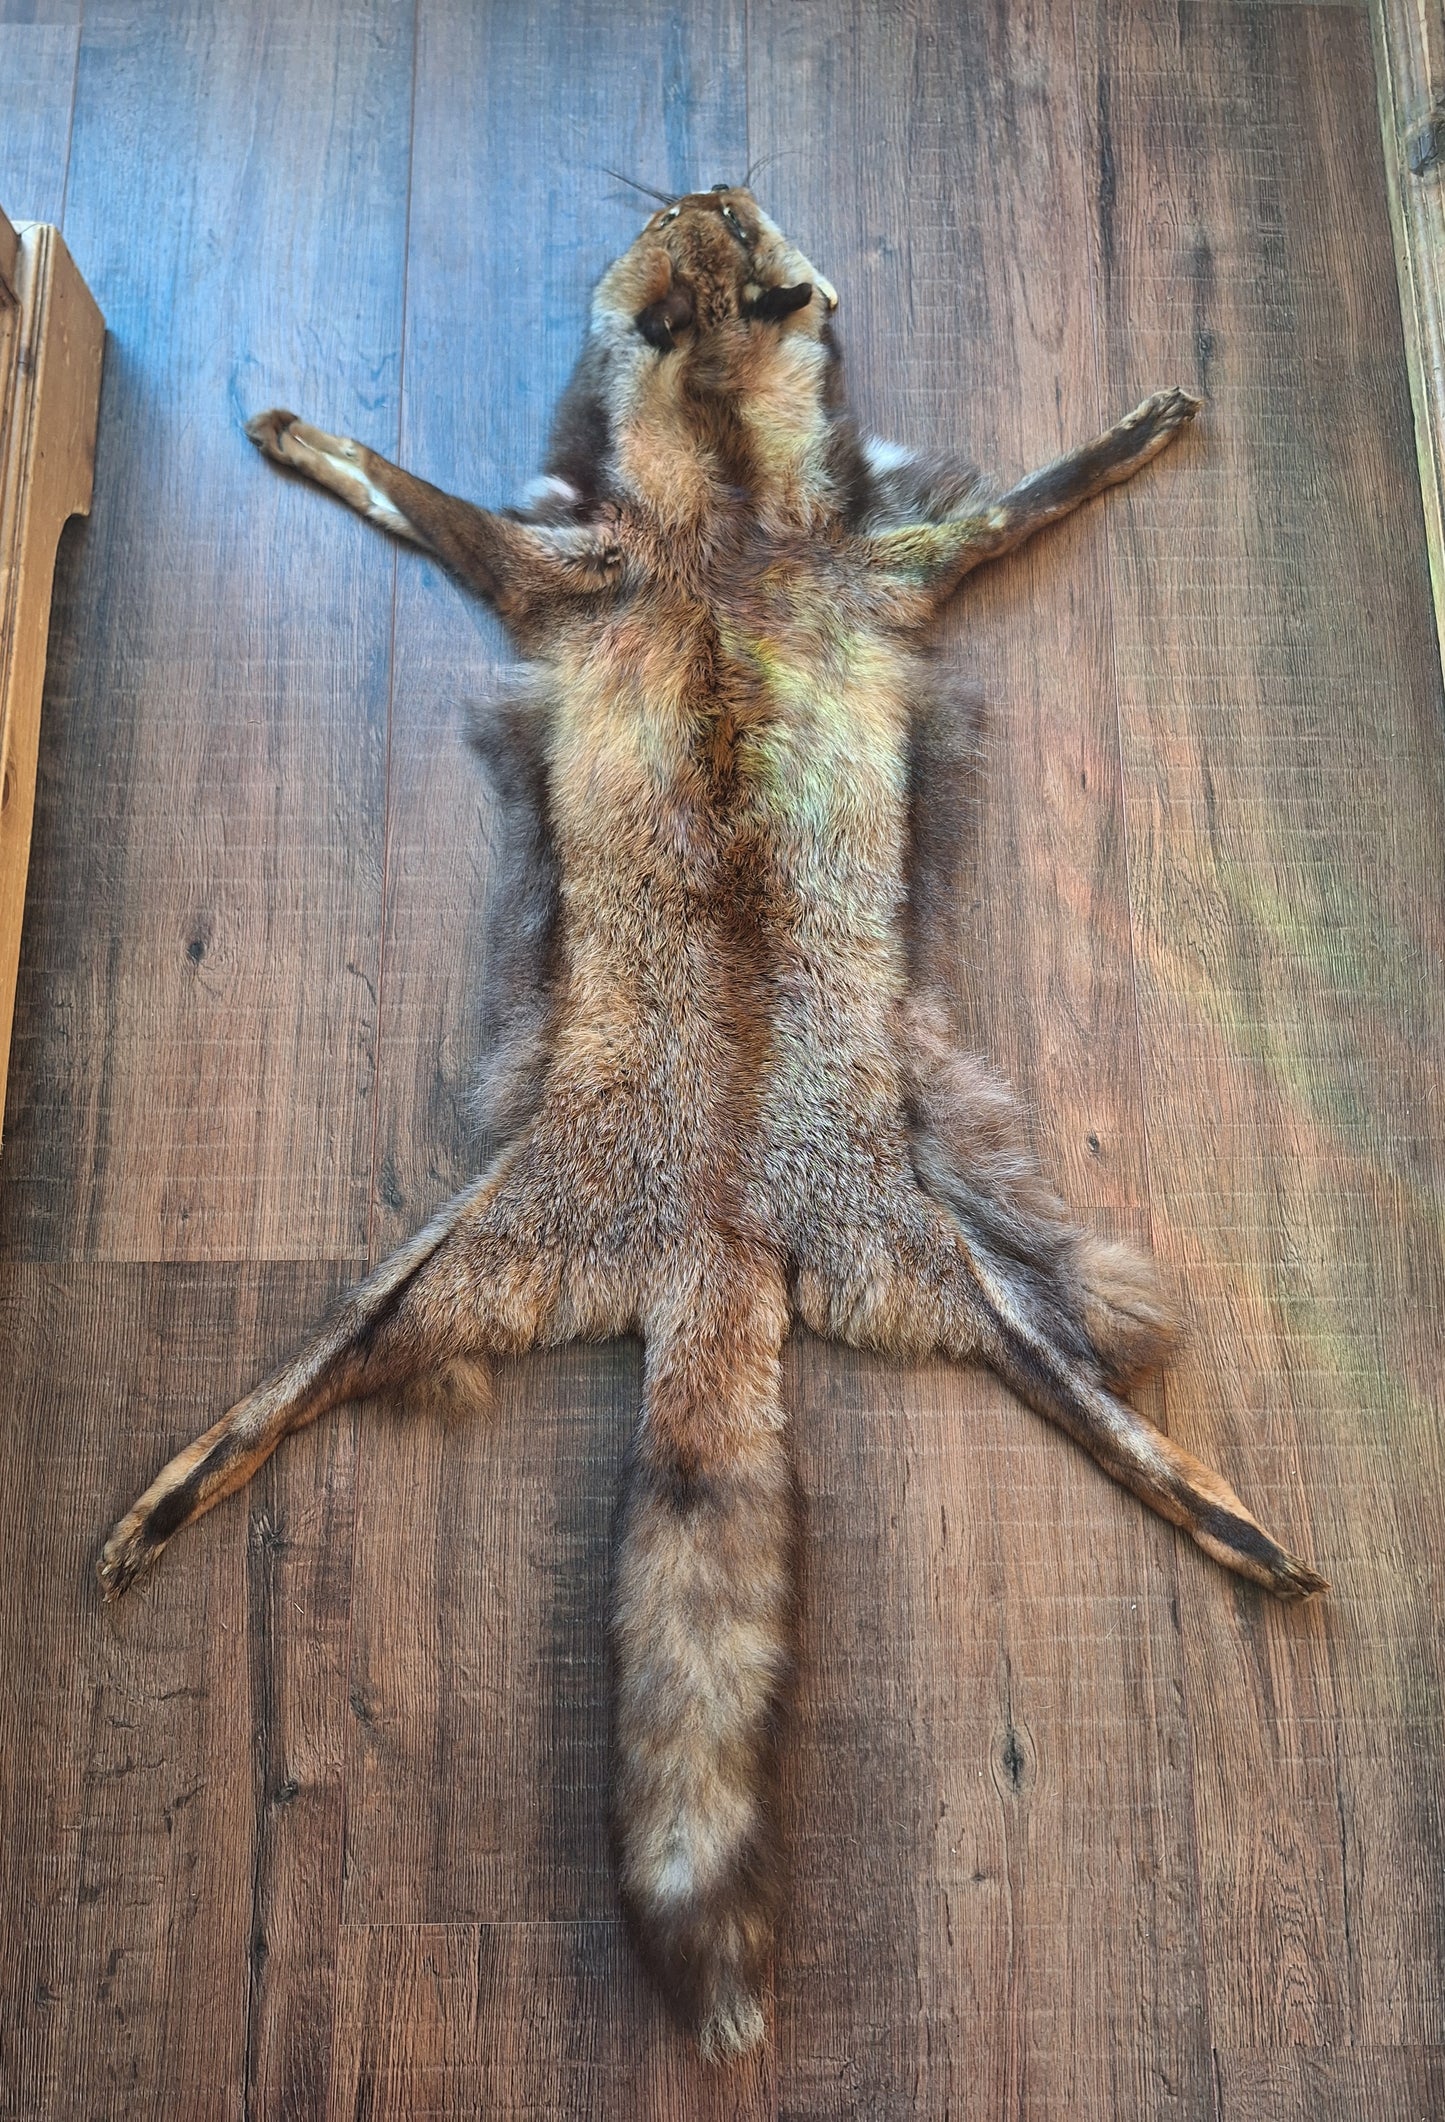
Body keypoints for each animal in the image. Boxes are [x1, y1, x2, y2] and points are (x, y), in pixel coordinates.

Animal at [98, 183, 1326, 2061]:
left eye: (735, 248)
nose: (706, 180)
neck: (730, 533)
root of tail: (720, 1232)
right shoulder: (568, 575)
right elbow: (402, 482)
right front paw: (308, 435)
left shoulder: (868, 570)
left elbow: (1032, 492)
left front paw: (1132, 429)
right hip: (468, 1268)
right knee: (286, 1390)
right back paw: (165, 1496)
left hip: (929, 1270)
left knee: (1091, 1404)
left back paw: (1234, 1520)